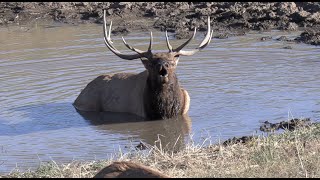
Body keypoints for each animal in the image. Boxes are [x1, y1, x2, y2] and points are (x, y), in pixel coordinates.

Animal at [74, 10, 214, 119]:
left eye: (172, 63)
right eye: (152, 63)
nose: (162, 66)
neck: (165, 111)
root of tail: (78, 97)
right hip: (89, 104)